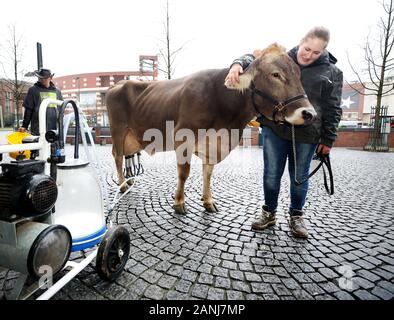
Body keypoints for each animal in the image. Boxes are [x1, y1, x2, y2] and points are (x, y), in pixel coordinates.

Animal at [106, 42, 316, 212]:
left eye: (298, 74)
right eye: (275, 74)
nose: (309, 114)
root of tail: (119, 83)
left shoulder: (215, 145)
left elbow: (208, 173)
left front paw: (208, 201)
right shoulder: (183, 137)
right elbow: (184, 173)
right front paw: (179, 202)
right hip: (118, 130)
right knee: (117, 156)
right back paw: (123, 185)